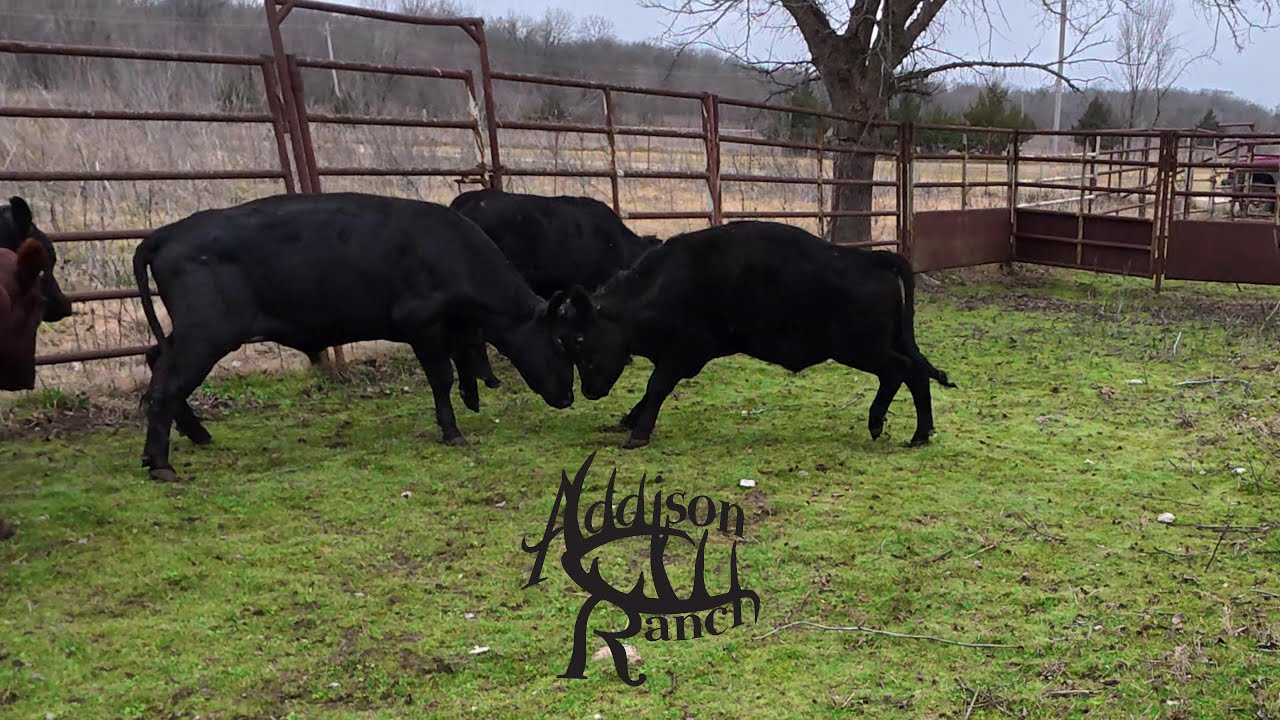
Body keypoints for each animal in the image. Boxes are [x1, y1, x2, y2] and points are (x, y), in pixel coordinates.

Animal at [132, 192, 576, 483]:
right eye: (559, 343)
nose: (569, 397)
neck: (453, 252)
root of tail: (167, 233)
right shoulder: (423, 326)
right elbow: (441, 378)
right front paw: (452, 431)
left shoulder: (458, 328)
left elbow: (466, 357)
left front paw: (472, 398)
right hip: (207, 333)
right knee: (168, 383)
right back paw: (160, 462)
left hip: (191, 333)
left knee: (157, 359)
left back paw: (196, 434)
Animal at [552, 220, 957, 449]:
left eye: (579, 340)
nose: (588, 392)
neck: (661, 286)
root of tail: (870, 259)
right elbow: (651, 391)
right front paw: (629, 419)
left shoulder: (683, 355)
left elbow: (656, 387)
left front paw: (637, 434)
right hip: (879, 346)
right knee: (907, 374)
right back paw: (902, 429)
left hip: (861, 348)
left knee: (905, 371)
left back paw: (899, 429)